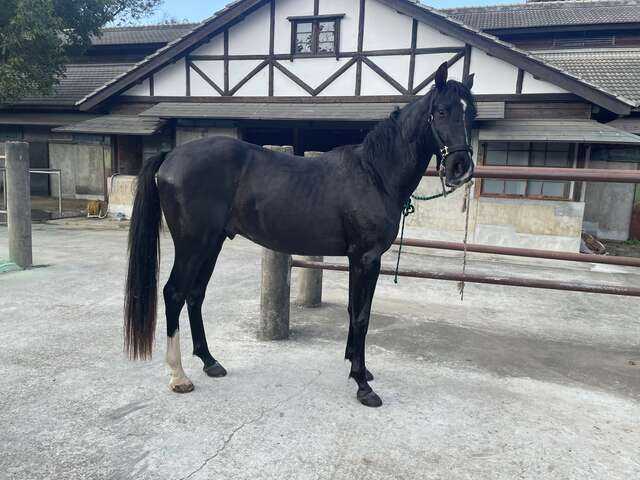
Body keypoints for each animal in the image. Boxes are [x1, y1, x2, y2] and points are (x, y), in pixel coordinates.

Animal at [124, 62, 476, 407]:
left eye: (470, 113)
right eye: (441, 111)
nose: (461, 167)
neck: (374, 174)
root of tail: (171, 156)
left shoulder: (361, 260)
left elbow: (355, 311)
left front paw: (358, 368)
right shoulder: (365, 258)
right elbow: (362, 316)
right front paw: (362, 385)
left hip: (213, 243)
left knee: (195, 294)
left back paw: (210, 362)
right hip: (192, 245)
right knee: (174, 293)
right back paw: (179, 376)